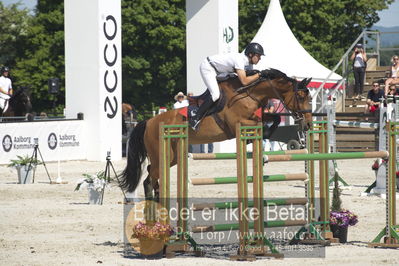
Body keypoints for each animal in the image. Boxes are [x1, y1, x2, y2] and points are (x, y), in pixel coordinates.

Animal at [120, 68, 314, 200]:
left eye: (310, 98)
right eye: (301, 97)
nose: (308, 124)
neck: (247, 94)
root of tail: (149, 122)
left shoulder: (257, 115)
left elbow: (274, 118)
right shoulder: (238, 123)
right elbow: (260, 124)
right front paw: (256, 138)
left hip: (172, 157)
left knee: (151, 175)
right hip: (162, 154)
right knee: (149, 179)